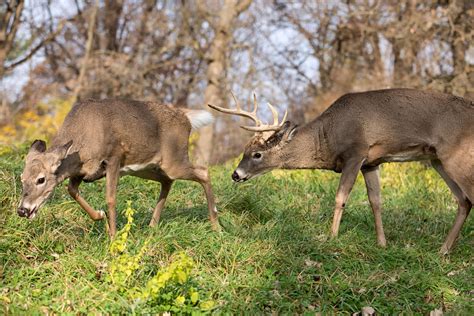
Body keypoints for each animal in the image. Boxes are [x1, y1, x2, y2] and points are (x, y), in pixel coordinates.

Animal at [18, 99, 218, 237]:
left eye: (41, 179)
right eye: (22, 178)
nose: (22, 210)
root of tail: (186, 118)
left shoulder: (113, 158)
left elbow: (111, 199)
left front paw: (113, 238)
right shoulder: (81, 171)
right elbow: (72, 191)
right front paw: (101, 217)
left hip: (173, 160)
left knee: (203, 171)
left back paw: (215, 225)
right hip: (146, 168)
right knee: (167, 181)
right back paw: (152, 226)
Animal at [210, 88, 474, 254]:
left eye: (257, 154)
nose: (236, 174)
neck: (328, 136)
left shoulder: (356, 152)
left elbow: (340, 197)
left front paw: (331, 237)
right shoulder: (371, 163)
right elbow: (375, 201)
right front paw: (382, 243)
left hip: (455, 154)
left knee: (470, 196)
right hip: (437, 159)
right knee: (464, 201)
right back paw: (442, 250)